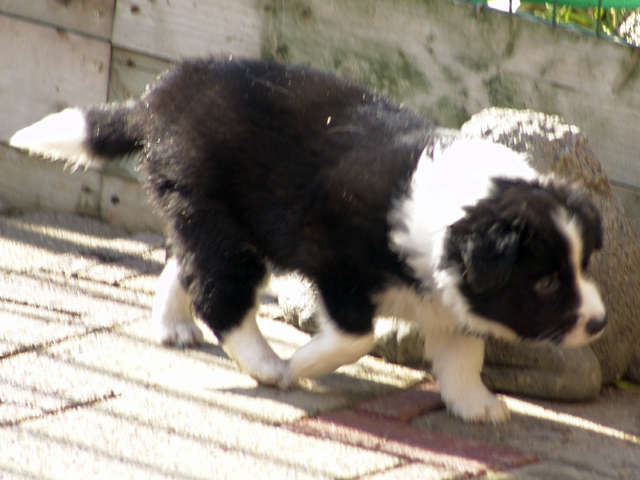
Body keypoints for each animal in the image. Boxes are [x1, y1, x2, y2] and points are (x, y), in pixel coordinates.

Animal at [10, 57, 606, 423]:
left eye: (585, 266)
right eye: (546, 281)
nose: (599, 324)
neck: (458, 208)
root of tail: (162, 97)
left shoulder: (449, 292)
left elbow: (464, 352)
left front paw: (475, 403)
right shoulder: (339, 264)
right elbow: (358, 338)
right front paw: (303, 365)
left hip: (217, 218)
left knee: (186, 264)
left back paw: (172, 326)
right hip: (222, 220)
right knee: (219, 294)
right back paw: (268, 366)